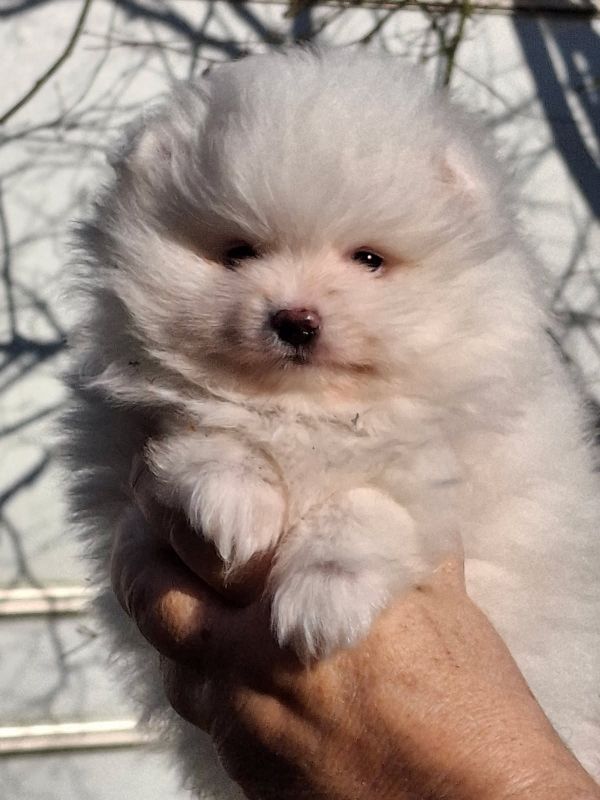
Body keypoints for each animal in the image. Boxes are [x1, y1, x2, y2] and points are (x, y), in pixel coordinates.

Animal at [63, 48, 600, 792]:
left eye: (369, 259)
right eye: (238, 253)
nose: (295, 319)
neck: (311, 408)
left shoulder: (452, 465)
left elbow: (368, 503)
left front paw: (322, 599)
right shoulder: (129, 455)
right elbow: (204, 433)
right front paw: (232, 509)